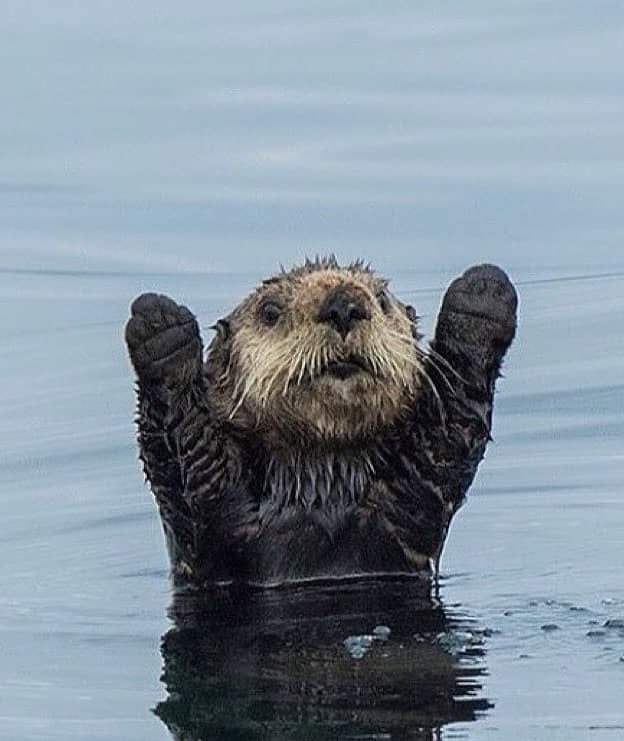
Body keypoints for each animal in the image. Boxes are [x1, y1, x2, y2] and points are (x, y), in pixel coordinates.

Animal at [125, 257, 517, 586]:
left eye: (382, 300)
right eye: (270, 311)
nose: (343, 305)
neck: (321, 483)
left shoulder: (413, 501)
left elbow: (451, 426)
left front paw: (482, 293)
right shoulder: (208, 521)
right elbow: (186, 456)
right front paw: (159, 325)